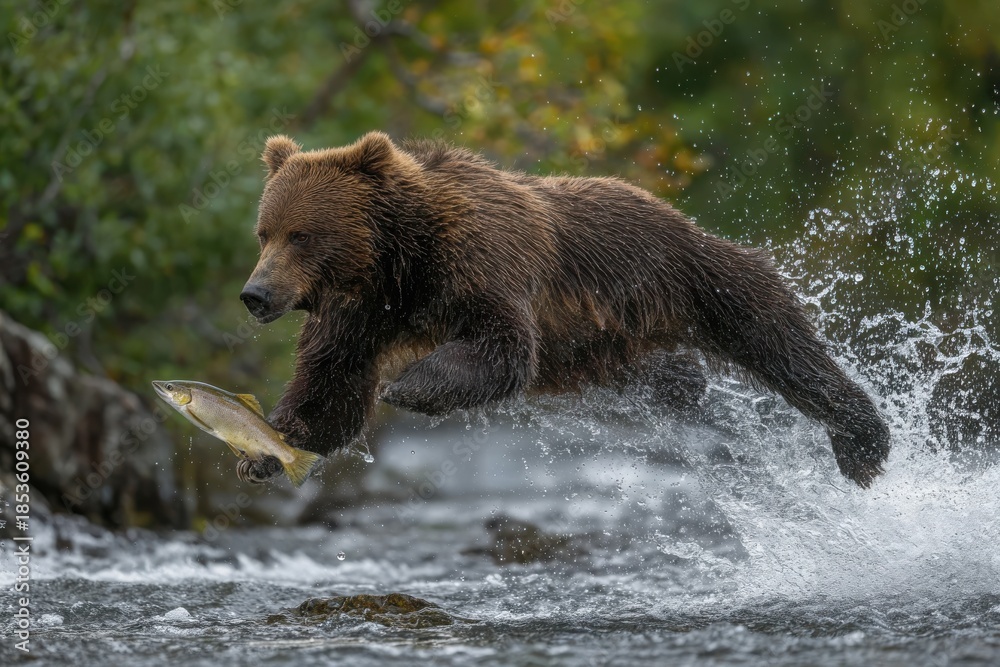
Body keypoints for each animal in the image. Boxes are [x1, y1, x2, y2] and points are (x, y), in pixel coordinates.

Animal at [238, 132, 891, 487]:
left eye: (300, 235)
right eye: (263, 233)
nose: (255, 294)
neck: (401, 261)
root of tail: (674, 212)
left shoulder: (484, 263)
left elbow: (505, 350)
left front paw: (411, 386)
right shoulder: (362, 315)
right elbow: (333, 391)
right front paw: (264, 450)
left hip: (692, 276)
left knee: (776, 334)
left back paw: (863, 442)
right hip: (623, 349)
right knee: (683, 385)